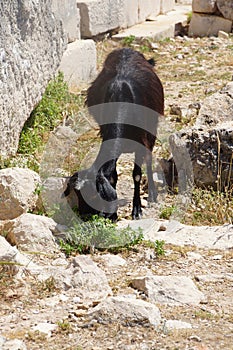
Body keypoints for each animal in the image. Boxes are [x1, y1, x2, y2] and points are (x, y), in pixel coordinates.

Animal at [64, 47, 164, 220]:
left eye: (93, 195)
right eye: (77, 194)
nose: (84, 215)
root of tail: (128, 49)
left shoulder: (140, 141)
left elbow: (137, 174)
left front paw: (137, 209)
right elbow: (113, 175)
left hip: (152, 127)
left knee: (149, 158)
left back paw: (152, 193)